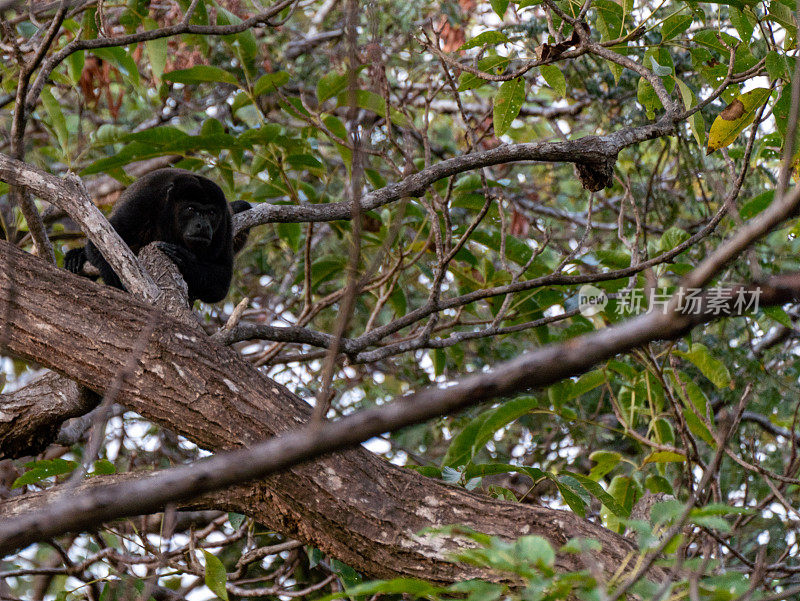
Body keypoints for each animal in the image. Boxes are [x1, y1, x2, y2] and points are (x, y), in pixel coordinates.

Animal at [66, 166, 253, 302]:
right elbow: (100, 245)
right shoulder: (142, 203)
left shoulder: (224, 225)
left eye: (211, 213)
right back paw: (77, 257)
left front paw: (185, 259)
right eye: (191, 209)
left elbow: (221, 283)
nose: (203, 225)